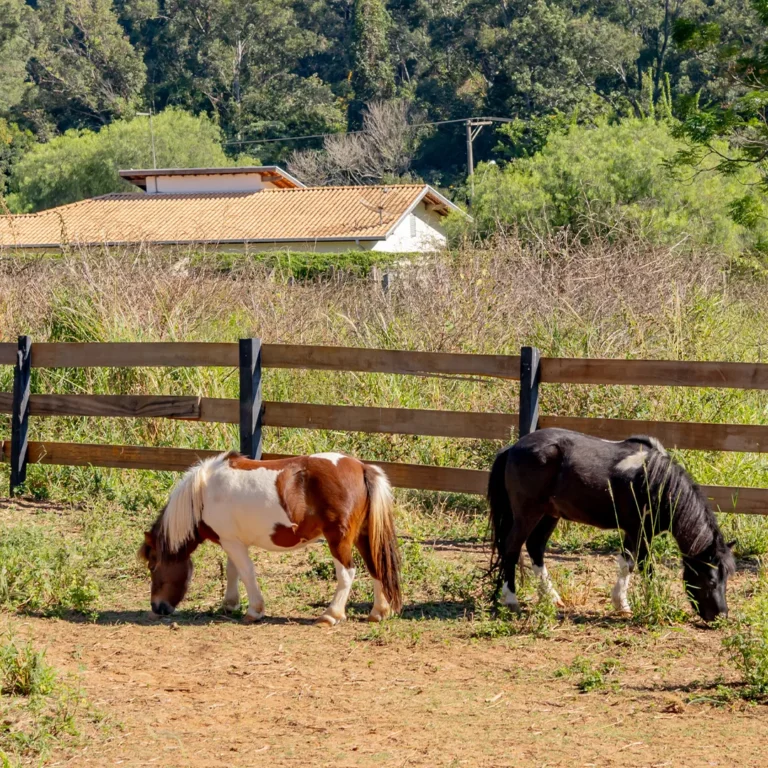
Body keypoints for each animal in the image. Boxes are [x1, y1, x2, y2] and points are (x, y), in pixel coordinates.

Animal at [140, 450, 402, 624]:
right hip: (363, 536)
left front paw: (254, 610)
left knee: (347, 573)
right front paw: (230, 604)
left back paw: (330, 615)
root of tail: (362, 467)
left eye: (153, 566)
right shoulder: (232, 540)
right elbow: (233, 570)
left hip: (338, 539)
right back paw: (378, 612)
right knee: (376, 566)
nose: (157, 607)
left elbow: (246, 572)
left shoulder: (232, 542)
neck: (203, 493)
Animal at [488, 428, 736, 620]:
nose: (721, 616)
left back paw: (551, 597)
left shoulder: (638, 533)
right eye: (711, 581)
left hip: (550, 514)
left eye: (726, 579)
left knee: (535, 547)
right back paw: (511, 600)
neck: (655, 483)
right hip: (527, 513)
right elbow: (640, 567)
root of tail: (513, 448)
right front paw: (642, 604)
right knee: (512, 548)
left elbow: (635, 565)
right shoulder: (639, 532)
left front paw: (631, 602)